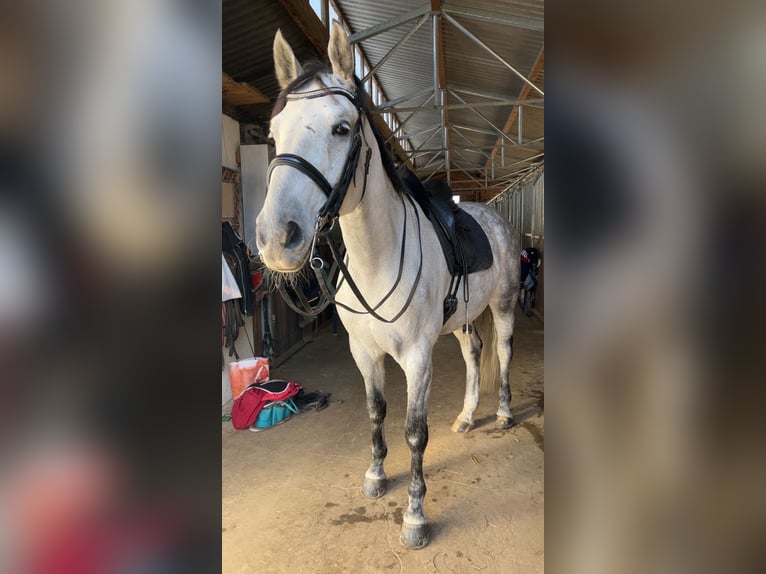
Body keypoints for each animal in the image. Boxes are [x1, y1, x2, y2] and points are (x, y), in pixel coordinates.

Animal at [255, 22, 520, 548]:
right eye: (273, 135)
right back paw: (466, 416)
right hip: (463, 319)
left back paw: (501, 413)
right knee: (473, 353)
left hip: (502, 306)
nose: (277, 239)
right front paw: (376, 476)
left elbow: (414, 431)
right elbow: (376, 412)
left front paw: (415, 516)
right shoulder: (364, 351)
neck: (375, 261)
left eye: (342, 128)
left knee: (501, 351)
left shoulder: (417, 356)